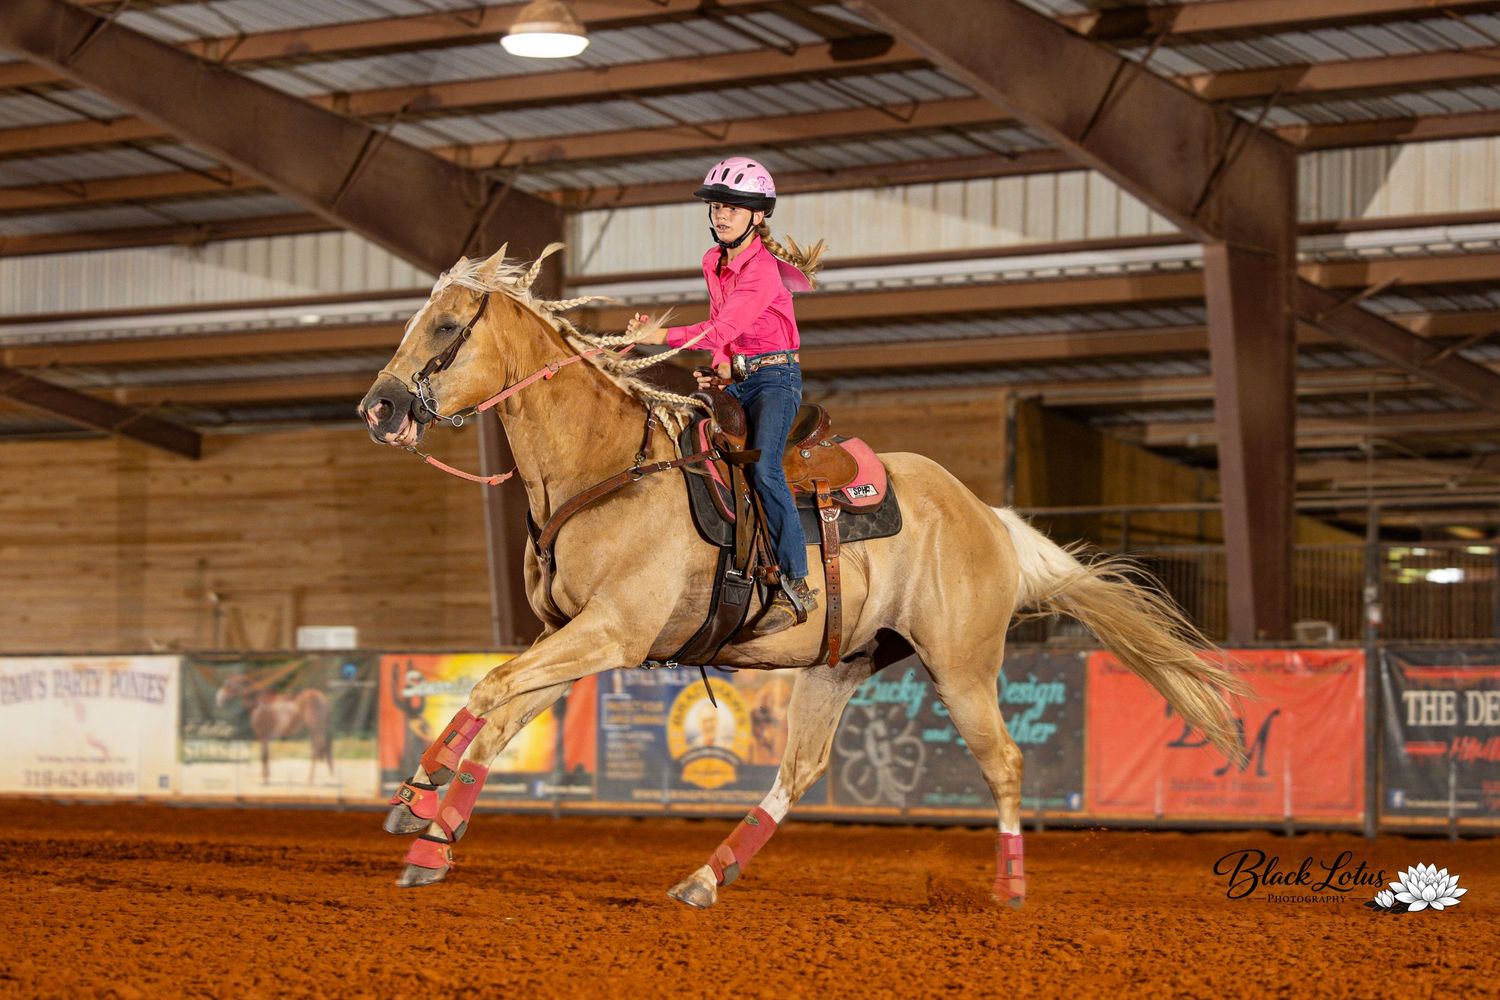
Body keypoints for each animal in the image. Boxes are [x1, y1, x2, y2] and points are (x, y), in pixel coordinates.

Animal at [357, 243, 1247, 909]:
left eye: (445, 324)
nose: (380, 408)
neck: (608, 468)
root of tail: (988, 518)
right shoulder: (572, 635)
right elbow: (500, 708)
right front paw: (428, 821)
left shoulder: (611, 633)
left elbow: (488, 692)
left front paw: (419, 804)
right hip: (839, 664)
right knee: (801, 770)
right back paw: (706, 877)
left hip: (962, 668)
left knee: (1005, 763)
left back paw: (1011, 890)